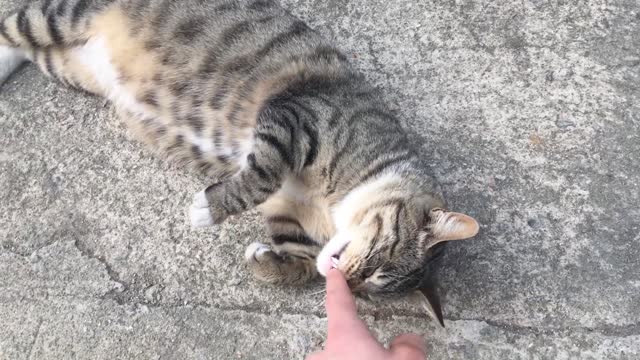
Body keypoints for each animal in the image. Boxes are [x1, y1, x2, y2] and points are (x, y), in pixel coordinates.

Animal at [1, 0, 480, 324]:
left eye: (368, 294)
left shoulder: (288, 213)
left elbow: (299, 261)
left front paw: (267, 261)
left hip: (67, 64)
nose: (348, 283)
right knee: (13, 25)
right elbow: (261, 175)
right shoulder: (292, 117)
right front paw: (208, 208)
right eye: (380, 266)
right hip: (68, 16)